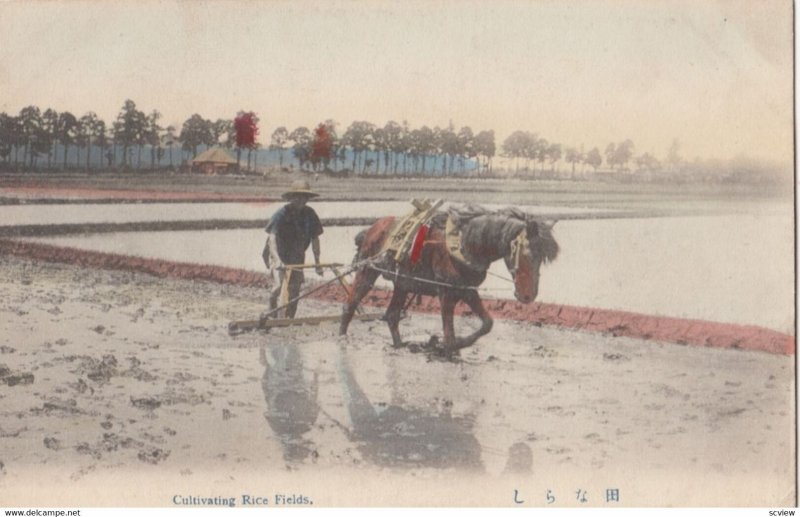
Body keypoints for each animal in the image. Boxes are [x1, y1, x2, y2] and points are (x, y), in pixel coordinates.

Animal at [340, 204, 560, 352]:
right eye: (528, 254)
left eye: (542, 258)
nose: (528, 295)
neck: (464, 243)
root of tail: (372, 228)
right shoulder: (445, 291)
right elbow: (450, 338)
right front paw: (442, 344)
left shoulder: (467, 290)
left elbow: (487, 324)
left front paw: (461, 342)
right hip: (367, 271)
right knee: (351, 304)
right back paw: (342, 337)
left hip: (403, 282)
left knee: (392, 315)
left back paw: (400, 345)